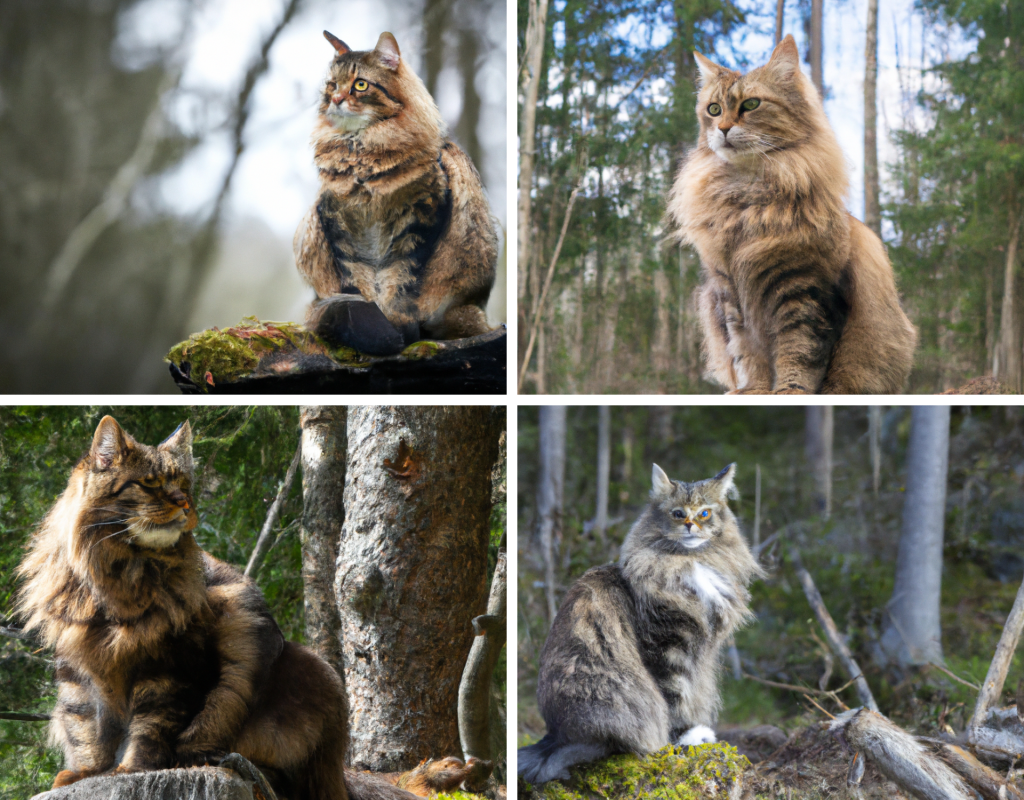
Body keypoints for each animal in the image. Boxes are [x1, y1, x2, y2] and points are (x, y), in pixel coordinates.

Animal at [17, 415, 415, 798]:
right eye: (149, 483)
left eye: (182, 482)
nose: (183, 501)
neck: (123, 574)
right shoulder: (78, 666)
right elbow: (85, 729)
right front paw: (86, 774)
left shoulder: (168, 669)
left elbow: (148, 729)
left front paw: (130, 770)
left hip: (306, 670)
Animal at [292, 31, 499, 354]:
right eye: (332, 85)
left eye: (360, 84)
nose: (336, 99)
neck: (361, 158)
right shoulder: (337, 221)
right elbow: (358, 281)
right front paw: (371, 322)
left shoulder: (419, 218)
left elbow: (400, 280)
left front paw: (396, 324)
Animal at [516, 460, 765, 778]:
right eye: (678, 513)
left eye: (704, 513)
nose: (690, 524)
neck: (688, 563)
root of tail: (557, 736)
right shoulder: (667, 647)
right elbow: (675, 700)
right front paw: (683, 738)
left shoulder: (699, 652)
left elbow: (692, 694)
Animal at [667, 35, 917, 395]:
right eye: (713, 110)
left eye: (751, 104)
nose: (723, 128)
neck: (748, 201)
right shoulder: (730, 291)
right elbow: (747, 354)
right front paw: (754, 391)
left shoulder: (805, 288)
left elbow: (799, 353)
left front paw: (788, 392)